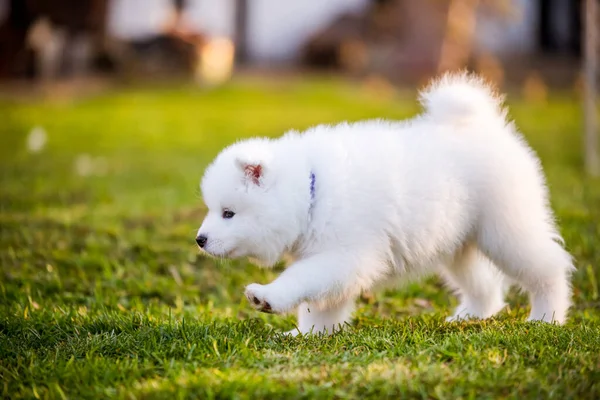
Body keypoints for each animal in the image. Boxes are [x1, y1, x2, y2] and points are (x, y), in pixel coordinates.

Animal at [195, 71, 576, 334]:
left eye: (228, 213)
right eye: (213, 210)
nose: (199, 239)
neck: (312, 192)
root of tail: (486, 126)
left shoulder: (345, 254)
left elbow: (303, 278)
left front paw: (269, 297)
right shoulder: (336, 259)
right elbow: (322, 304)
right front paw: (307, 335)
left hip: (504, 229)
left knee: (548, 267)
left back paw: (547, 317)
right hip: (457, 240)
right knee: (485, 286)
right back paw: (469, 316)